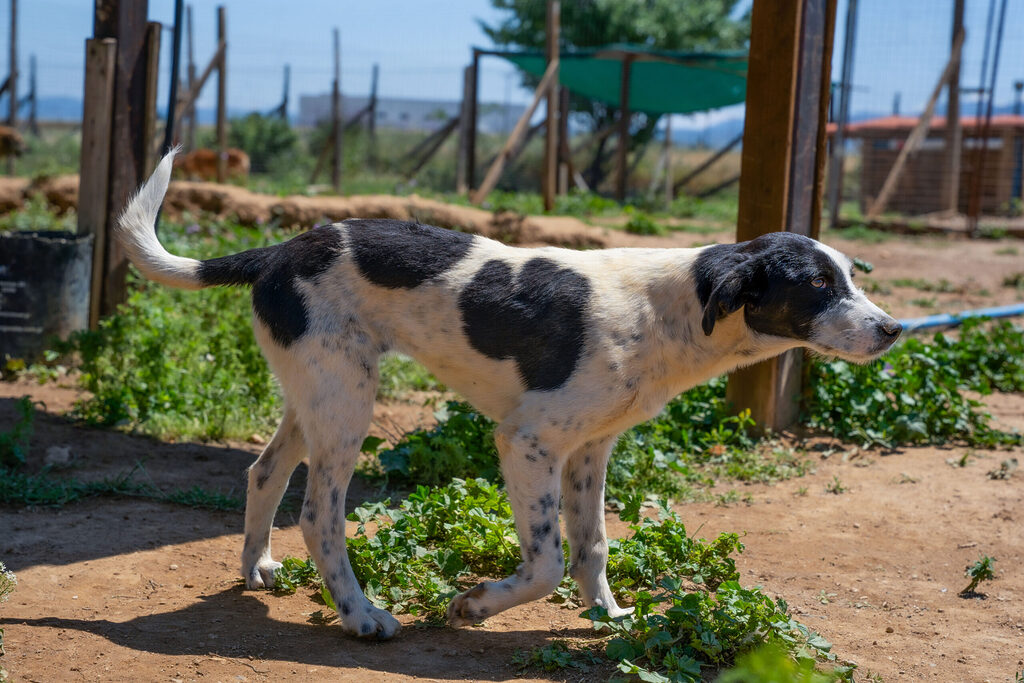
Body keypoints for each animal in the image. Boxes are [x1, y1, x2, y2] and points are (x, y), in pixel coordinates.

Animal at [117, 150, 901, 640]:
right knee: (317, 515)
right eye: (819, 285)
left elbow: (592, 546)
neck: (669, 309)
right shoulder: (528, 441)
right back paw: (362, 616)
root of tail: (279, 249)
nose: (894, 329)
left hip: (317, 393)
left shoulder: (590, 449)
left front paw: (607, 615)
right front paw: (477, 604)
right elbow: (547, 562)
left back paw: (255, 568)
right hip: (347, 406)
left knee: (262, 470)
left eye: (850, 276)